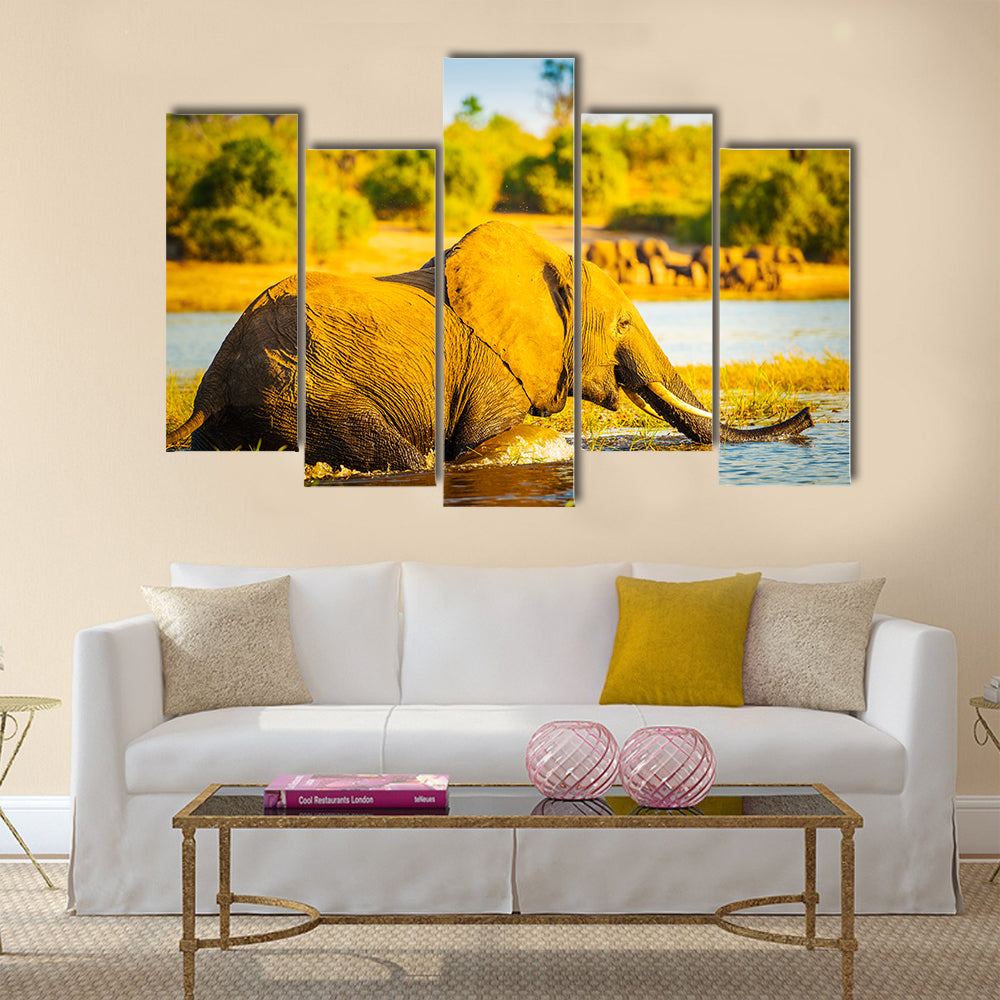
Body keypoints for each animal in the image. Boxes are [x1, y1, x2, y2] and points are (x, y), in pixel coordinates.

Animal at [166, 221, 812, 466]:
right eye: (624, 327)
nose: (806, 418)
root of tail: (214, 377)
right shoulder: (492, 367)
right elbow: (483, 441)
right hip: (294, 383)